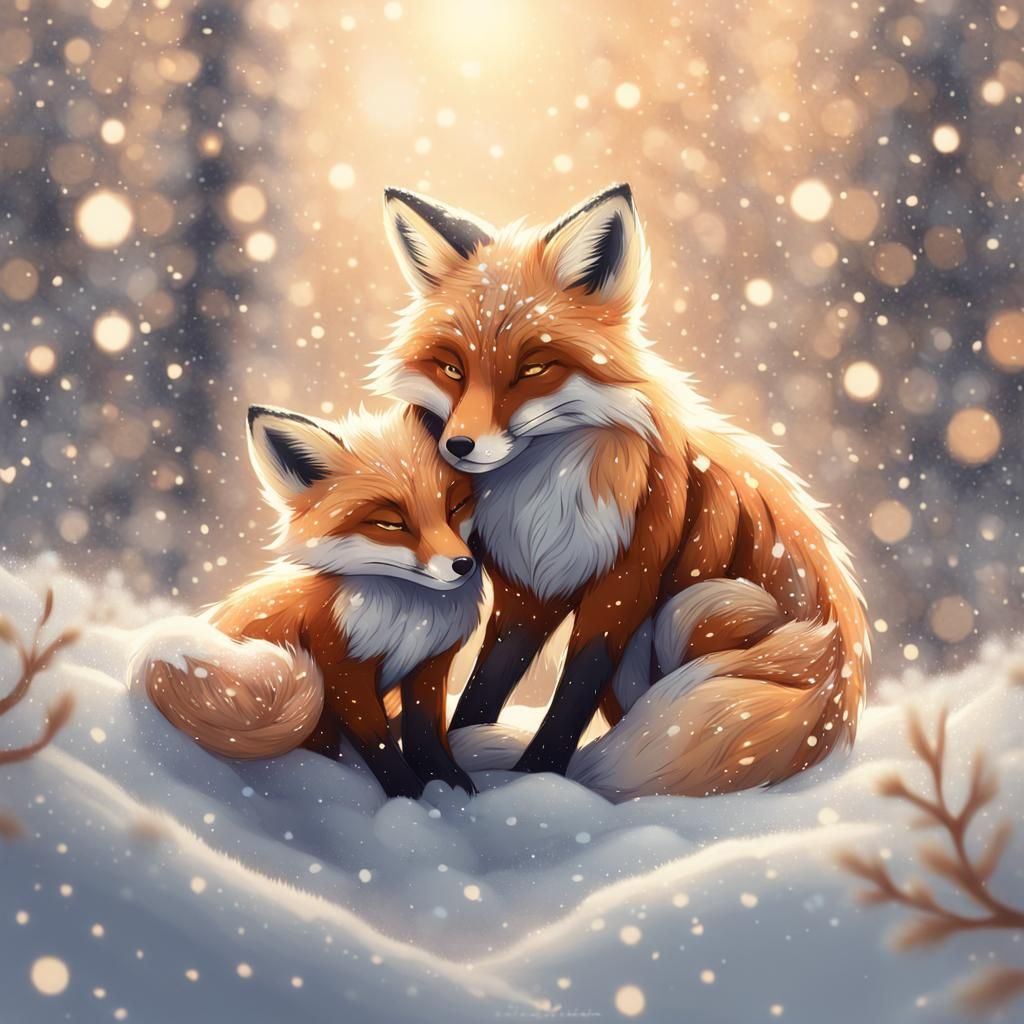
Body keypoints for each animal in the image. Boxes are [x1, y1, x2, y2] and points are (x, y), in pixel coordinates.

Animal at [129, 403, 481, 798]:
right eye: (391, 524)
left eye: (456, 506)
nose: (463, 564)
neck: (410, 619)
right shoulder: (341, 669)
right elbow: (378, 743)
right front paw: (409, 794)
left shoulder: (431, 663)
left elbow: (426, 732)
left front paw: (451, 786)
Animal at [369, 183, 871, 800]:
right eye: (452, 368)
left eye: (533, 368)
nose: (458, 446)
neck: (541, 496)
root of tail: (839, 702)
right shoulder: (527, 587)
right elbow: (487, 683)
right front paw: (463, 759)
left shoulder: (629, 576)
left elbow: (574, 690)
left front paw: (537, 777)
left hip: (700, 607)